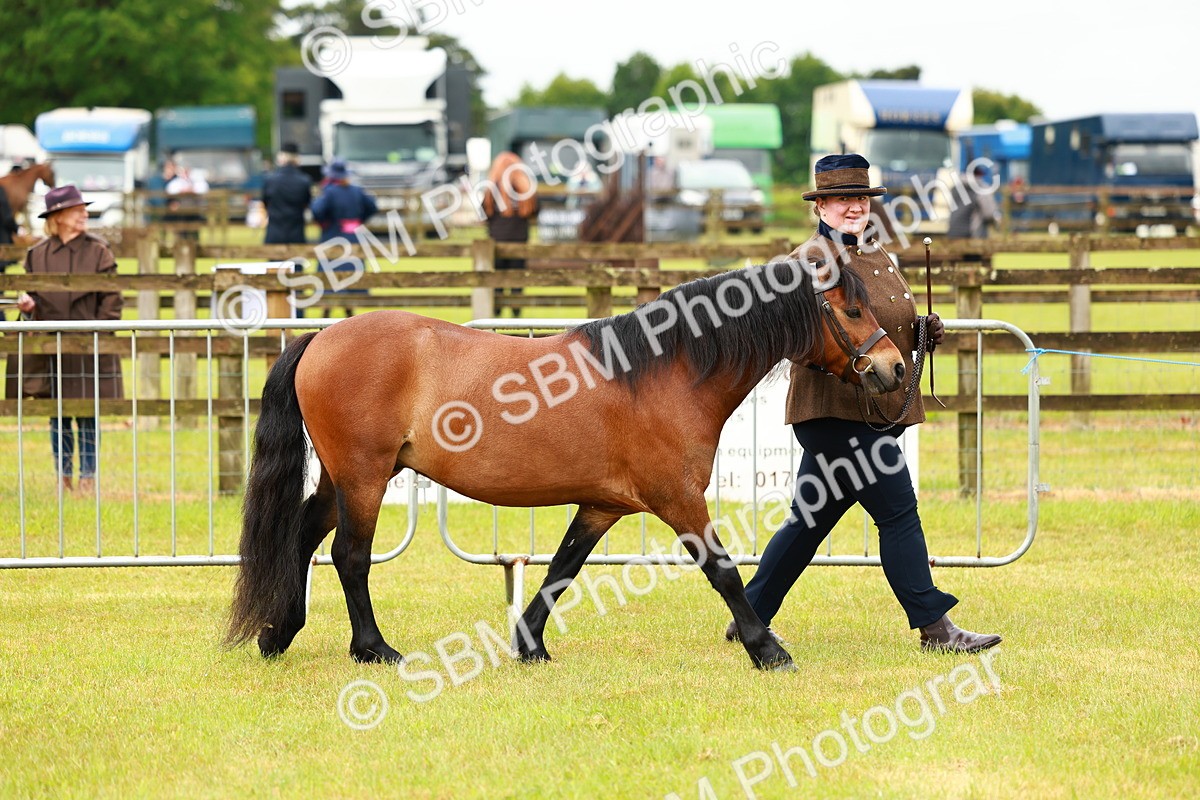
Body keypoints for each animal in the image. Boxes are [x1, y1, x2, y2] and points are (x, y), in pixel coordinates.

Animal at [225, 258, 907, 671]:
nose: (896, 366)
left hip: (347, 477)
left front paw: (528, 646)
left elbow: (561, 570)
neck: (663, 372)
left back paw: (276, 633)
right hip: (364, 477)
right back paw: (372, 649)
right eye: (851, 311)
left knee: (302, 536)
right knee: (349, 556)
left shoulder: (603, 504)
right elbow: (724, 573)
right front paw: (767, 649)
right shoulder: (680, 500)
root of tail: (321, 336)